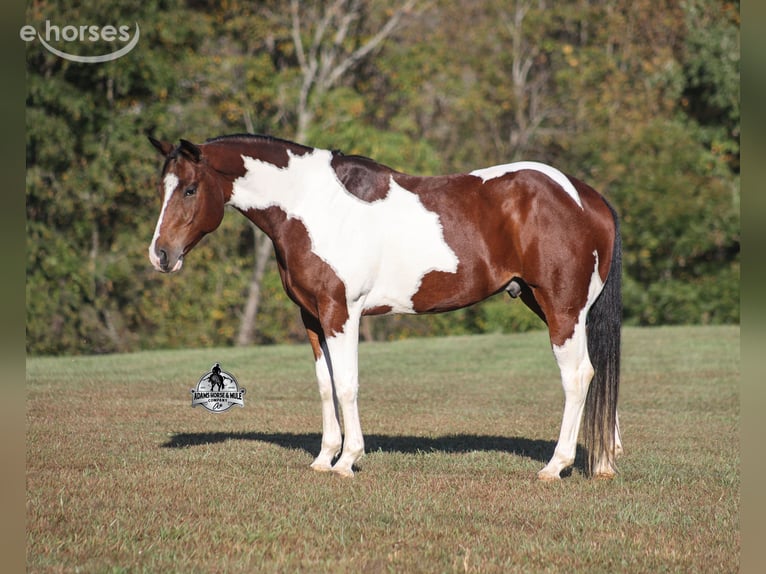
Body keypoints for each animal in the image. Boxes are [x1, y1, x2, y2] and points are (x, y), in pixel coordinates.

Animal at [147, 133, 623, 480]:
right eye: (162, 189)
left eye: (190, 189)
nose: (160, 256)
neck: (314, 206)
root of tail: (587, 196)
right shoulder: (312, 317)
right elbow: (325, 385)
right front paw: (323, 458)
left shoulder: (341, 313)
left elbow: (347, 385)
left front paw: (347, 461)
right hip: (549, 305)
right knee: (596, 372)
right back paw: (603, 461)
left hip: (562, 309)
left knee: (578, 376)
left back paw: (556, 466)